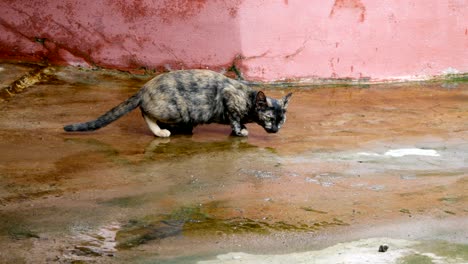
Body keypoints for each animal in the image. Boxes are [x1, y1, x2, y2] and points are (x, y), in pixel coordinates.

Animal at [64, 69, 292, 137]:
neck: (249, 98)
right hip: (176, 110)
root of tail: (145, 87)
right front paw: (240, 130)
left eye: (282, 121)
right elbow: (235, 119)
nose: (276, 130)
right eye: (270, 118)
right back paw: (161, 132)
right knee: (145, 111)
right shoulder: (228, 98)